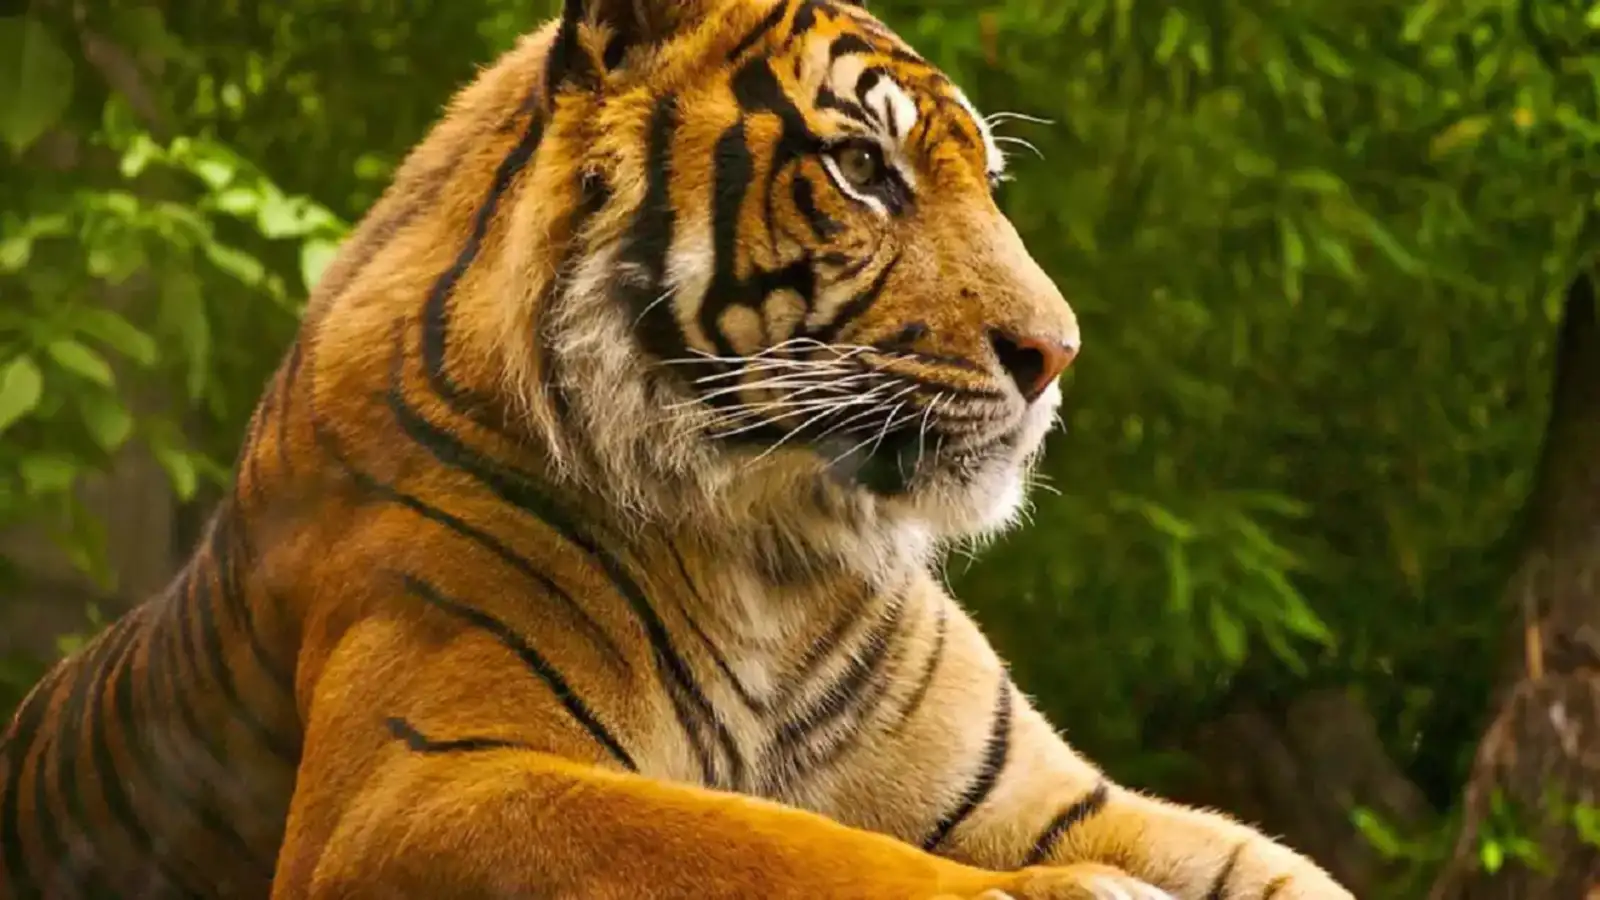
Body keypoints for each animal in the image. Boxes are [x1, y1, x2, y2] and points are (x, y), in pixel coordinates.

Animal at [0, 1, 1356, 898]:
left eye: (986, 181)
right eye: (861, 168)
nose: (1056, 354)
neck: (774, 551)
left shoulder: (1053, 797)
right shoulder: (420, 784)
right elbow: (789, 850)